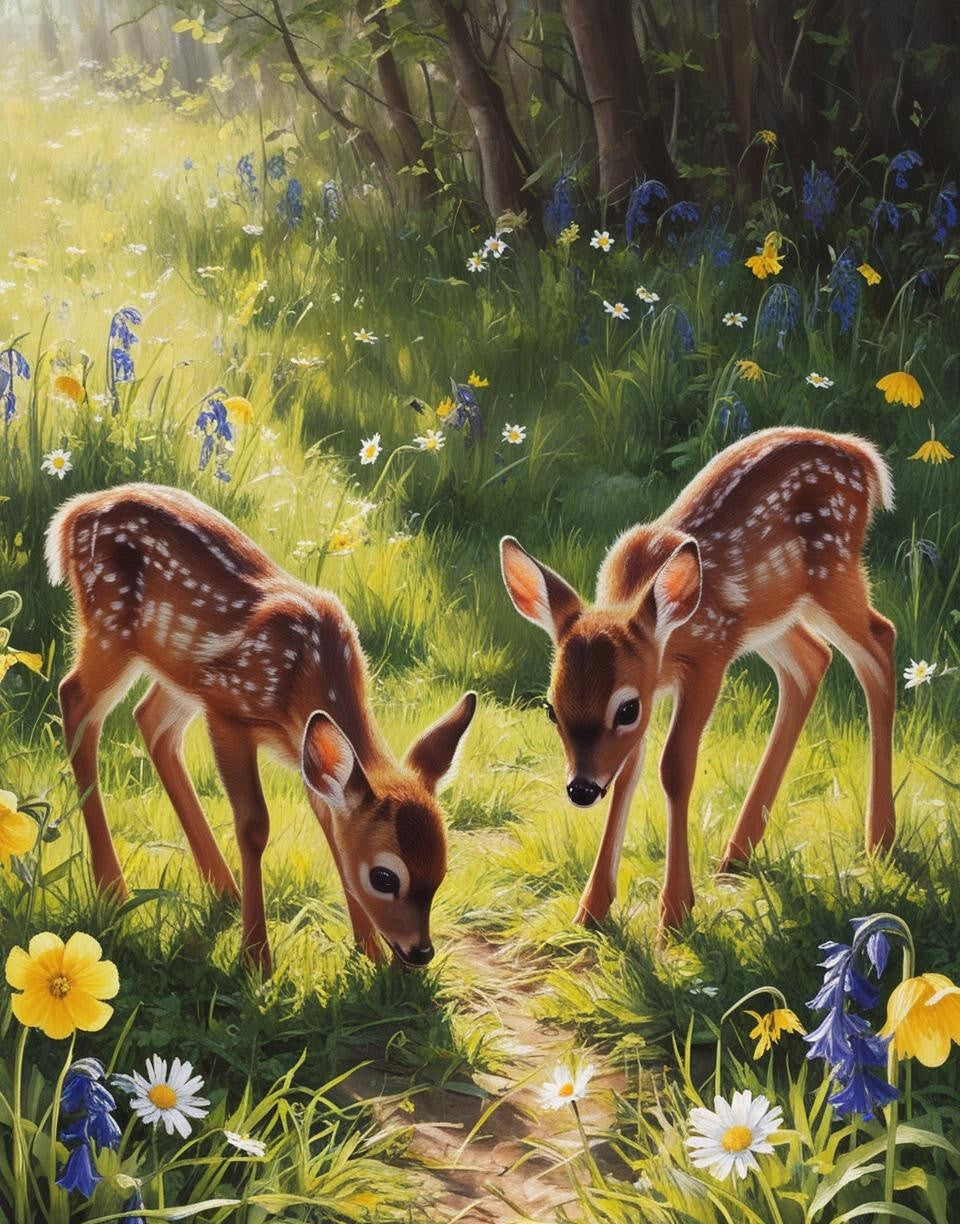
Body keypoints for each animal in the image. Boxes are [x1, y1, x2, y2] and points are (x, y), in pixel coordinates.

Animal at [46, 484, 476, 973]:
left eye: (441, 869)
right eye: (385, 877)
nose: (420, 952)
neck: (305, 678)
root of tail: (72, 514)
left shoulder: (307, 754)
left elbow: (330, 829)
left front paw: (369, 953)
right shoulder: (230, 711)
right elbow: (254, 824)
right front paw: (256, 957)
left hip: (180, 670)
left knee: (148, 719)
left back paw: (222, 887)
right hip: (110, 627)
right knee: (75, 700)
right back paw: (114, 888)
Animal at [500, 427, 896, 932]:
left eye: (626, 708)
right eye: (551, 708)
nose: (581, 789)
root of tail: (861, 454)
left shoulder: (710, 655)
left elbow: (674, 767)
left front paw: (674, 912)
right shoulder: (660, 681)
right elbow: (627, 775)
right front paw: (590, 911)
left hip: (833, 573)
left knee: (879, 643)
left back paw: (880, 840)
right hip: (772, 617)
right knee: (812, 660)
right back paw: (738, 852)